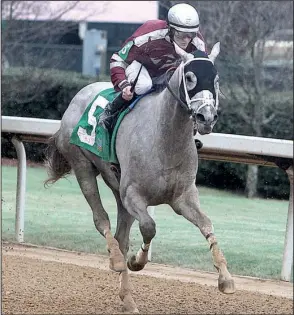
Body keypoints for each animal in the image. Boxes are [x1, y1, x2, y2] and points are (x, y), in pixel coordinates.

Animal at [44, 42, 235, 314]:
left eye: (216, 79)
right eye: (190, 77)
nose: (206, 118)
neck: (165, 139)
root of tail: (79, 96)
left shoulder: (183, 197)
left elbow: (207, 224)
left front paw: (226, 278)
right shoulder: (134, 195)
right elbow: (149, 227)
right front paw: (136, 261)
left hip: (116, 188)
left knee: (122, 237)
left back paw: (128, 299)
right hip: (82, 166)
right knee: (101, 220)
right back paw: (116, 259)